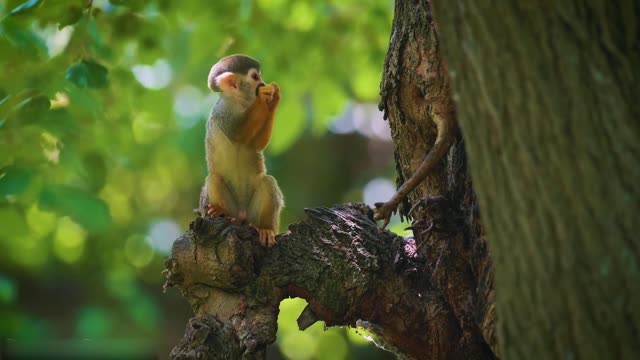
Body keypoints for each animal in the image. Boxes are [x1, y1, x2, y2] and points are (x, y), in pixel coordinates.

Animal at [204, 54, 284, 248]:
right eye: (255, 77)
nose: (262, 83)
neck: (239, 102)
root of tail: (242, 215)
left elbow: (256, 144)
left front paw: (274, 98)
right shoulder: (223, 112)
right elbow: (238, 134)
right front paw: (263, 97)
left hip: (251, 214)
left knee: (268, 182)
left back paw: (266, 229)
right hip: (233, 208)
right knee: (214, 178)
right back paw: (222, 212)